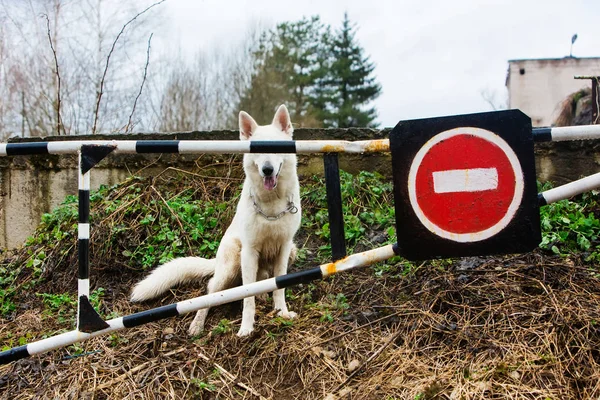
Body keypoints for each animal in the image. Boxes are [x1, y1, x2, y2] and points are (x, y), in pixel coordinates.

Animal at [131, 104, 300, 336]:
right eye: (257, 149)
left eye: (276, 148)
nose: (267, 170)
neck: (271, 205)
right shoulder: (249, 252)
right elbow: (247, 299)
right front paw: (246, 327)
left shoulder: (284, 248)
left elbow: (279, 287)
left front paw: (281, 312)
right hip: (230, 267)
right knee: (210, 291)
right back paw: (197, 324)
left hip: (291, 251)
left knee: (262, 282)